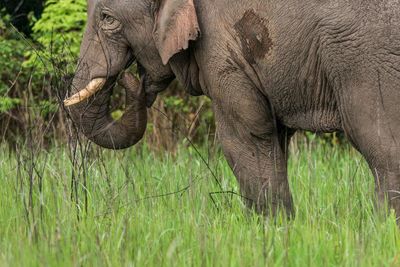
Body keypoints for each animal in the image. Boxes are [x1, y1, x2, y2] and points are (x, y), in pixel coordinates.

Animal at [64, 0, 400, 218]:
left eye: (107, 18)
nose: (132, 80)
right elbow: (274, 138)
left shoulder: (221, 49)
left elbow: (243, 137)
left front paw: (270, 230)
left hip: (365, 60)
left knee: (381, 146)